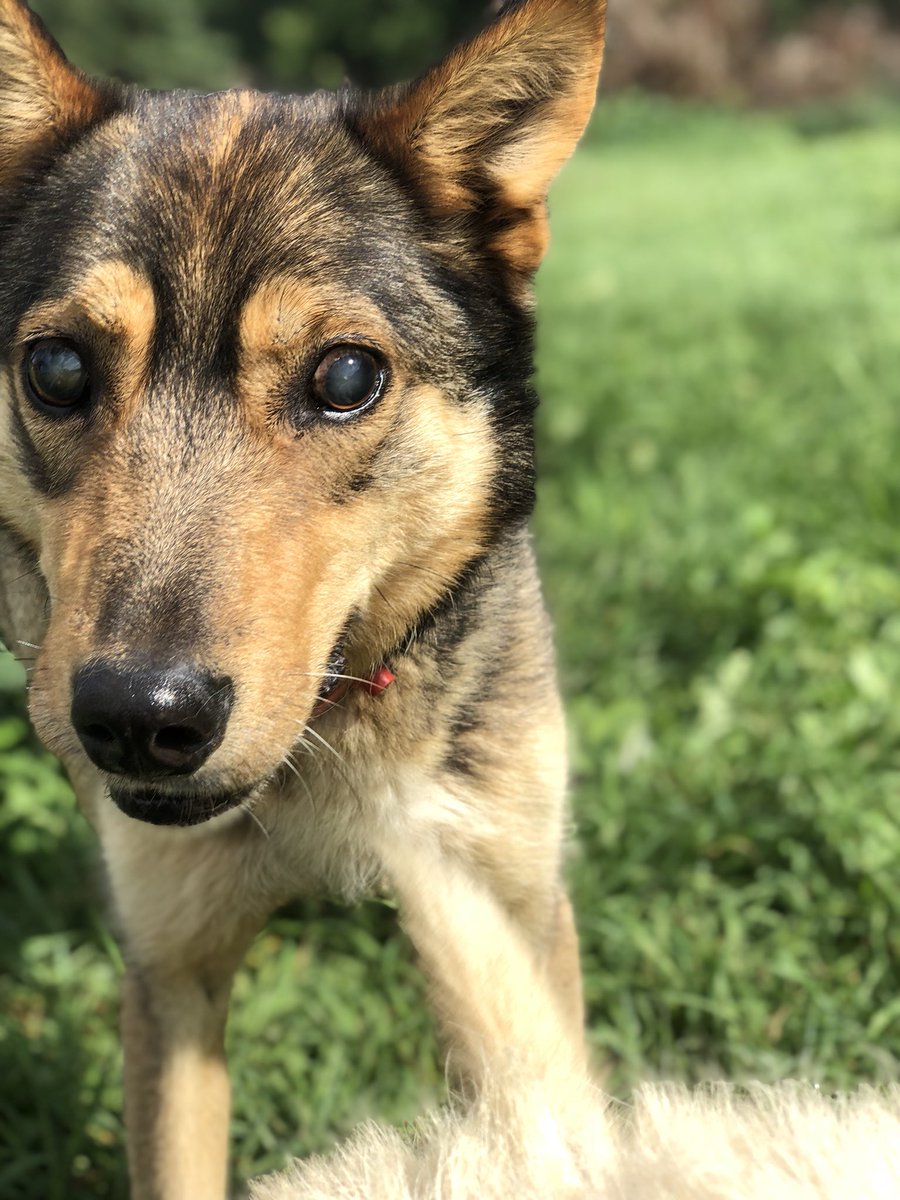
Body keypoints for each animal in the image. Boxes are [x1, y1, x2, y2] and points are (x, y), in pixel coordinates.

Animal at [0, 0, 607, 1195]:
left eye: (345, 378)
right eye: (57, 369)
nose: (137, 721)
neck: (326, 742)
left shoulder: (511, 910)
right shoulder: (171, 970)